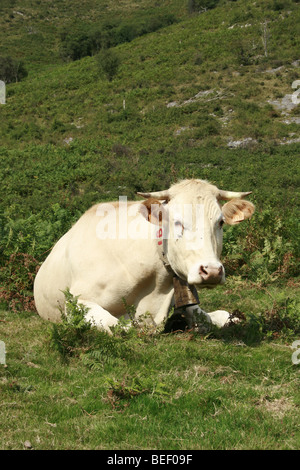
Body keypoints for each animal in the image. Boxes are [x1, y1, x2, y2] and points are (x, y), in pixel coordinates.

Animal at [34, 178, 254, 332]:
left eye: (220, 222)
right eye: (176, 221)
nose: (212, 271)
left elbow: (206, 318)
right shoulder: (76, 302)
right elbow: (118, 326)